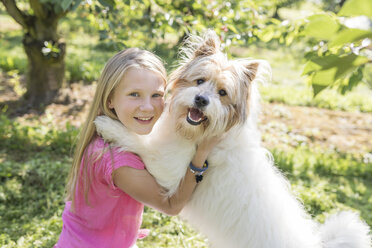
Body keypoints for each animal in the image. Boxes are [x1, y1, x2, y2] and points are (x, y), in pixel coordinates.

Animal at [94, 31, 370, 248]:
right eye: (200, 81)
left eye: (223, 92)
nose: (201, 100)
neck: (201, 134)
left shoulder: (168, 172)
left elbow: (139, 140)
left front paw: (109, 125)